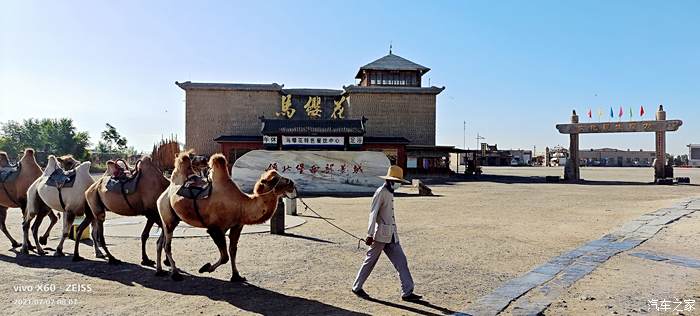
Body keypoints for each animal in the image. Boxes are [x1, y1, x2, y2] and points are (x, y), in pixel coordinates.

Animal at [154, 152, 294, 282]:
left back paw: (160, 270)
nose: (291, 183)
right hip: (168, 216)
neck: (241, 205)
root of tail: (165, 192)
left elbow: (232, 251)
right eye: (274, 179)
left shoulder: (237, 226)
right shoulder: (214, 229)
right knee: (167, 245)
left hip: (172, 218)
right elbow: (225, 256)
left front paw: (236, 276)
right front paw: (205, 268)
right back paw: (175, 274)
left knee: (160, 242)